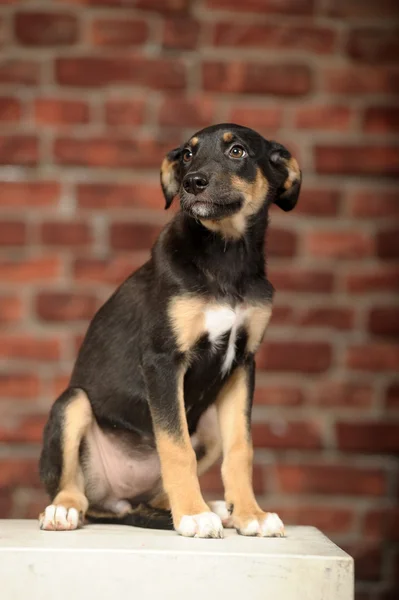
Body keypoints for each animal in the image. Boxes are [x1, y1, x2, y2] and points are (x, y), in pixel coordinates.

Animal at [39, 123, 302, 540]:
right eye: (187, 155)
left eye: (238, 151)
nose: (192, 183)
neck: (225, 255)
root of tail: (119, 500)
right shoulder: (163, 361)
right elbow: (176, 448)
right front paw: (193, 515)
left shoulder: (243, 364)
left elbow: (241, 449)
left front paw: (251, 515)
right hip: (72, 404)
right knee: (73, 488)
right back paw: (64, 510)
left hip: (208, 426)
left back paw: (214, 508)